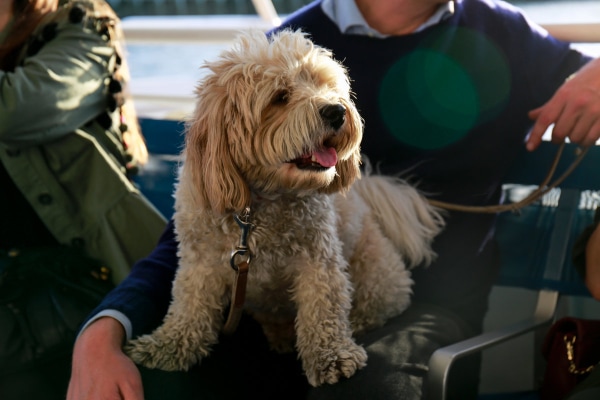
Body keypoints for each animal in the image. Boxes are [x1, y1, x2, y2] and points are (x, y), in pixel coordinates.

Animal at [125, 28, 446, 388]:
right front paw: (167, 346)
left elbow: (324, 308)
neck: (256, 207)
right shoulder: (200, 261)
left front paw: (332, 356)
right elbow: (189, 305)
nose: (337, 111)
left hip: (378, 277)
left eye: (326, 85)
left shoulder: (319, 260)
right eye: (280, 97)